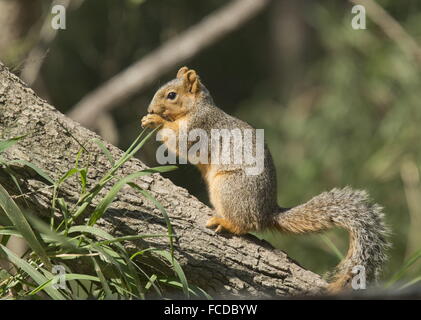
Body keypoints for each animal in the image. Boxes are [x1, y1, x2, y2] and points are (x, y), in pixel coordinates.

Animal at [139, 65, 388, 292]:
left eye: (172, 95)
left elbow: (180, 141)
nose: (150, 108)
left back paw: (225, 222)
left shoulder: (200, 127)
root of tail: (267, 212)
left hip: (229, 188)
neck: (196, 108)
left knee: (244, 224)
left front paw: (156, 121)